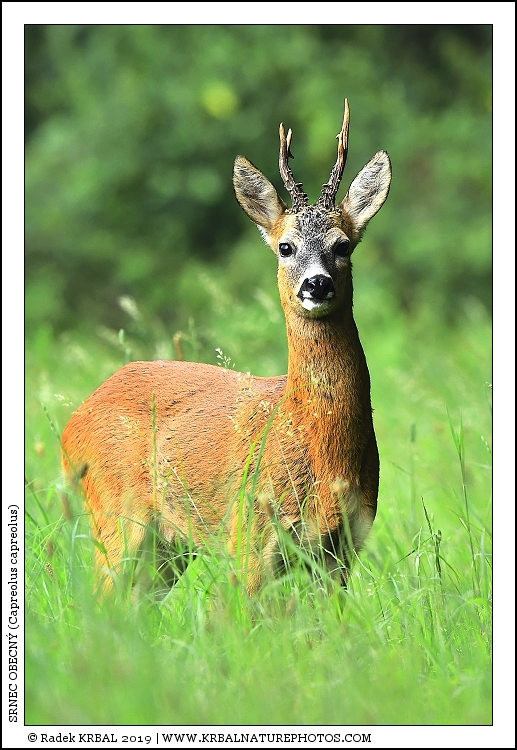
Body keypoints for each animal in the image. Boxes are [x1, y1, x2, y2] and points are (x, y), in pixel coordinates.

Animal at [61, 100, 391, 599]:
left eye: (343, 245)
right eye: (285, 247)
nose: (316, 284)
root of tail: (72, 424)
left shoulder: (342, 550)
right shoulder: (249, 534)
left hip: (166, 549)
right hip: (114, 516)